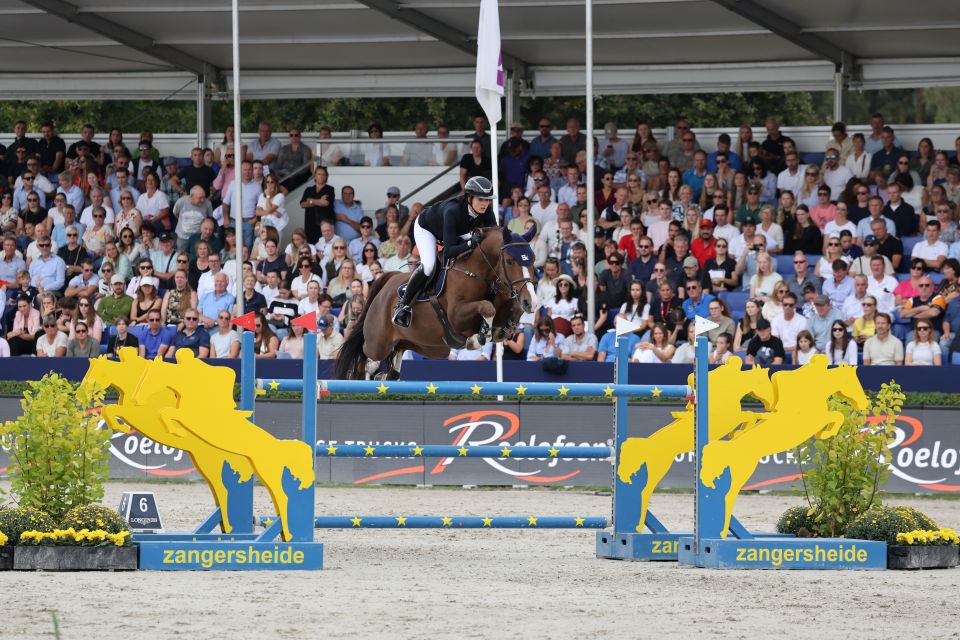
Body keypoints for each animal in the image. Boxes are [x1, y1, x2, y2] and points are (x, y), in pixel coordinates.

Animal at [334, 226, 536, 380]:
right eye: (509, 261)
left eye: (532, 259)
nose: (531, 302)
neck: (476, 272)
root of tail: (388, 280)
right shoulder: (456, 316)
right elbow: (487, 307)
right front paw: (477, 337)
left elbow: (508, 313)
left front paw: (502, 329)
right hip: (379, 343)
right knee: (363, 352)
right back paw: (356, 375)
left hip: (425, 346)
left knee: (395, 358)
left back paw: (383, 376)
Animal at [616, 360, 780, 536]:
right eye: (767, 382)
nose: (772, 405)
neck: (728, 391)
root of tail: (649, 445)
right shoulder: (732, 418)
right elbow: (749, 415)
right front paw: (738, 432)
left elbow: (749, 416)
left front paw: (737, 433)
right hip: (660, 467)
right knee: (646, 491)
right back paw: (638, 526)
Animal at [696, 358, 872, 536]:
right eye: (855, 382)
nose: (865, 403)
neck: (812, 392)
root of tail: (730, 449)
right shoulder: (816, 420)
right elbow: (837, 415)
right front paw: (826, 434)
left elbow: (837, 416)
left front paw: (825, 433)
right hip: (744, 470)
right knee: (729, 496)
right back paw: (723, 532)